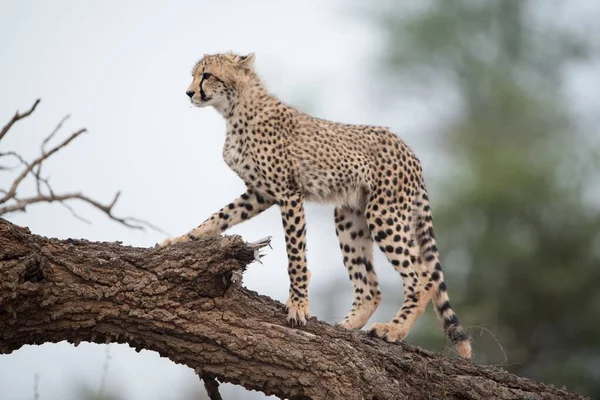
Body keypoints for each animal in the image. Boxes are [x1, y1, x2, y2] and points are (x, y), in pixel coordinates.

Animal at [162, 51, 472, 358]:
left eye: (207, 75)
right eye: (194, 75)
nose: (189, 92)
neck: (235, 108)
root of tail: (410, 151)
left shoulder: (288, 193)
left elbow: (295, 255)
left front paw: (298, 306)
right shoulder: (260, 194)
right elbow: (217, 217)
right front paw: (181, 240)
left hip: (383, 213)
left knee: (423, 278)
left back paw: (393, 329)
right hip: (349, 216)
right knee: (371, 289)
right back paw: (346, 327)